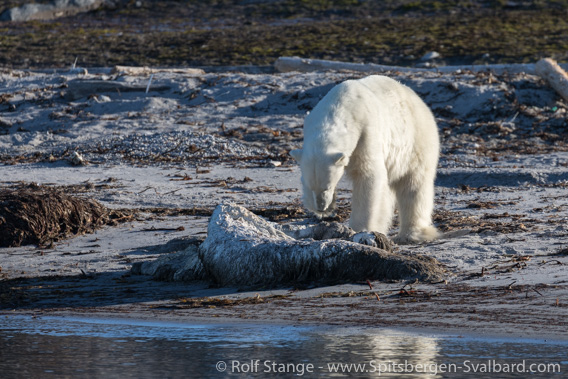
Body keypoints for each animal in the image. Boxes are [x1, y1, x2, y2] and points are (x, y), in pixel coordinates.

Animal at [290, 75, 442, 245]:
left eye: (327, 187)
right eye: (311, 187)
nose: (321, 207)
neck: (339, 107)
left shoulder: (366, 132)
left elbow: (368, 176)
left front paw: (358, 229)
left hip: (415, 142)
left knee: (413, 186)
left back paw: (411, 234)